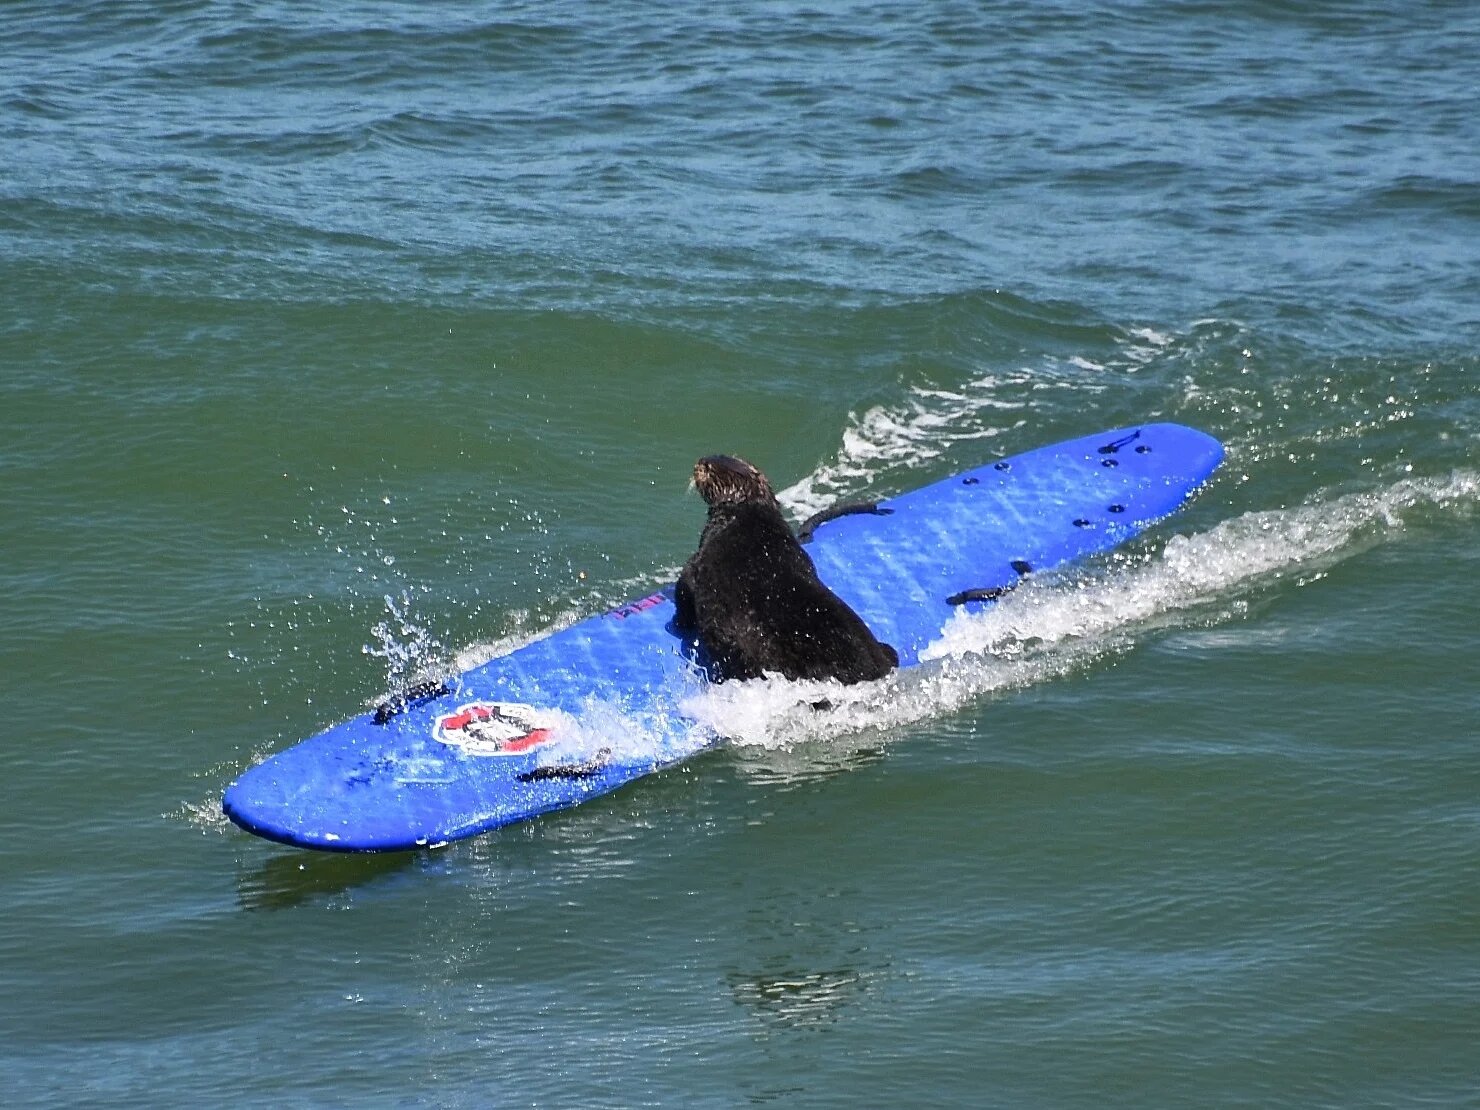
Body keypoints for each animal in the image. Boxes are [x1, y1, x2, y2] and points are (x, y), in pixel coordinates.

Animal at [674, 452, 899, 686]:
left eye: (707, 466)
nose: (700, 461)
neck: (747, 513)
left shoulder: (702, 555)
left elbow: (684, 586)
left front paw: (679, 622)